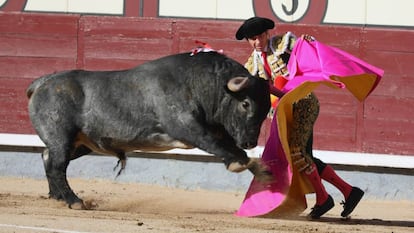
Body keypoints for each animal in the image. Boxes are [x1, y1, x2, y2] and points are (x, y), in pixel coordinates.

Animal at [25, 51, 272, 209]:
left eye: (266, 108)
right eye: (245, 103)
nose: (251, 142)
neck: (200, 84)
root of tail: (42, 82)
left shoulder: (218, 131)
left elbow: (233, 149)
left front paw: (263, 172)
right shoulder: (189, 128)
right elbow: (220, 147)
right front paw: (242, 165)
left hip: (82, 143)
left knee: (48, 157)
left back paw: (57, 197)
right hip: (62, 139)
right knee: (57, 166)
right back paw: (74, 201)